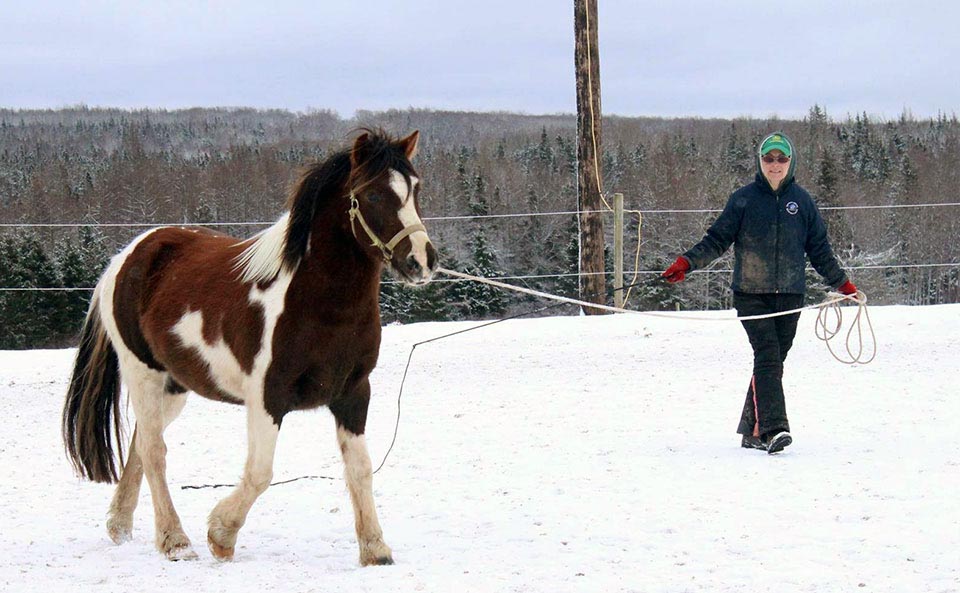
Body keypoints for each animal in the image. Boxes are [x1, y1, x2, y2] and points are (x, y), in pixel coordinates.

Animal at [60, 128, 436, 564]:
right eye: (373, 195)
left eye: (415, 188)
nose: (422, 261)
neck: (318, 306)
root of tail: (126, 257)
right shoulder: (267, 397)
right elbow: (260, 473)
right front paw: (220, 534)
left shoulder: (354, 394)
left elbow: (360, 469)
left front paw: (375, 549)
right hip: (142, 373)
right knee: (154, 451)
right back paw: (175, 541)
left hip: (174, 386)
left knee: (141, 442)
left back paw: (120, 524)